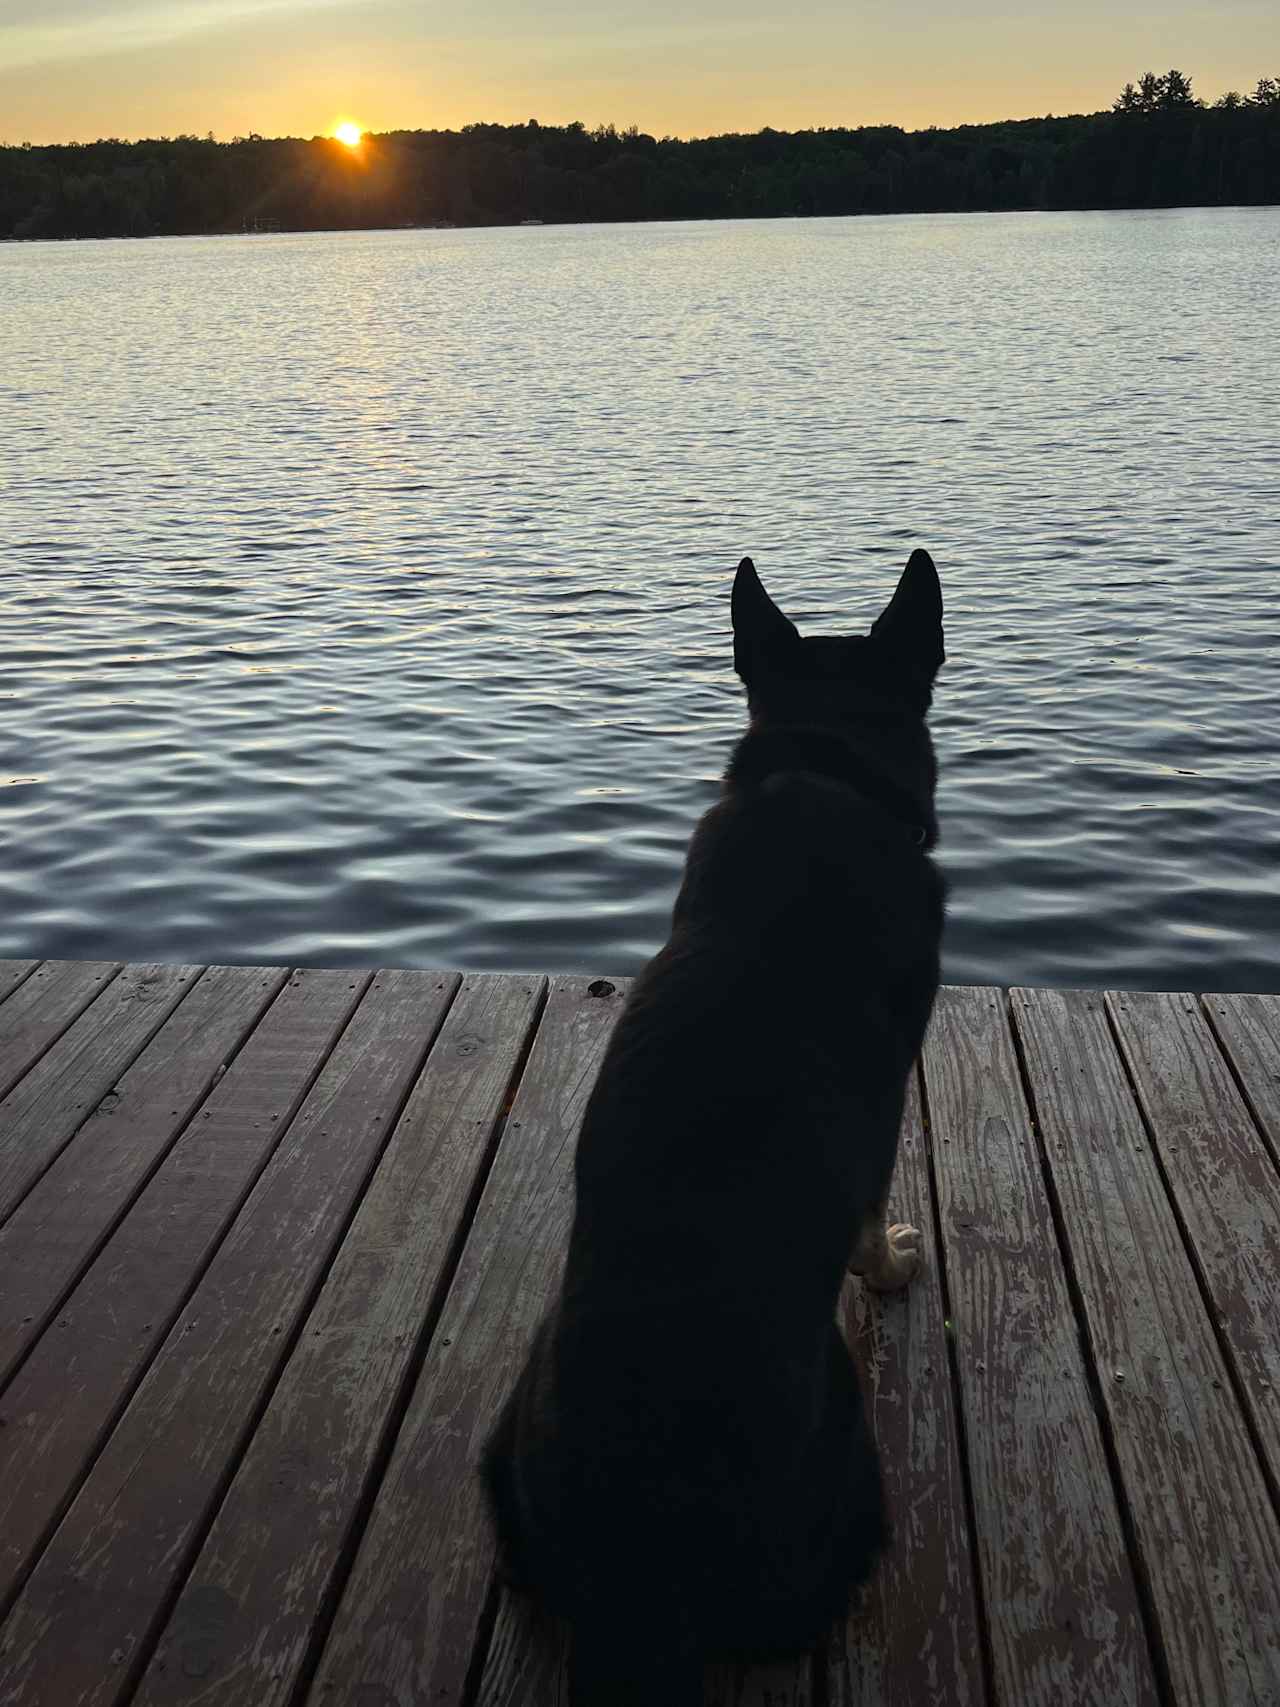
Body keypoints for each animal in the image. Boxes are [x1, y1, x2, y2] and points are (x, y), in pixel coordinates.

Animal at [484, 553, 948, 1700]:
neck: (821, 778)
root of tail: (642, 1595)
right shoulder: (886, 1090)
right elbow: (869, 1214)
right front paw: (890, 1266)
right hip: (847, 1465)